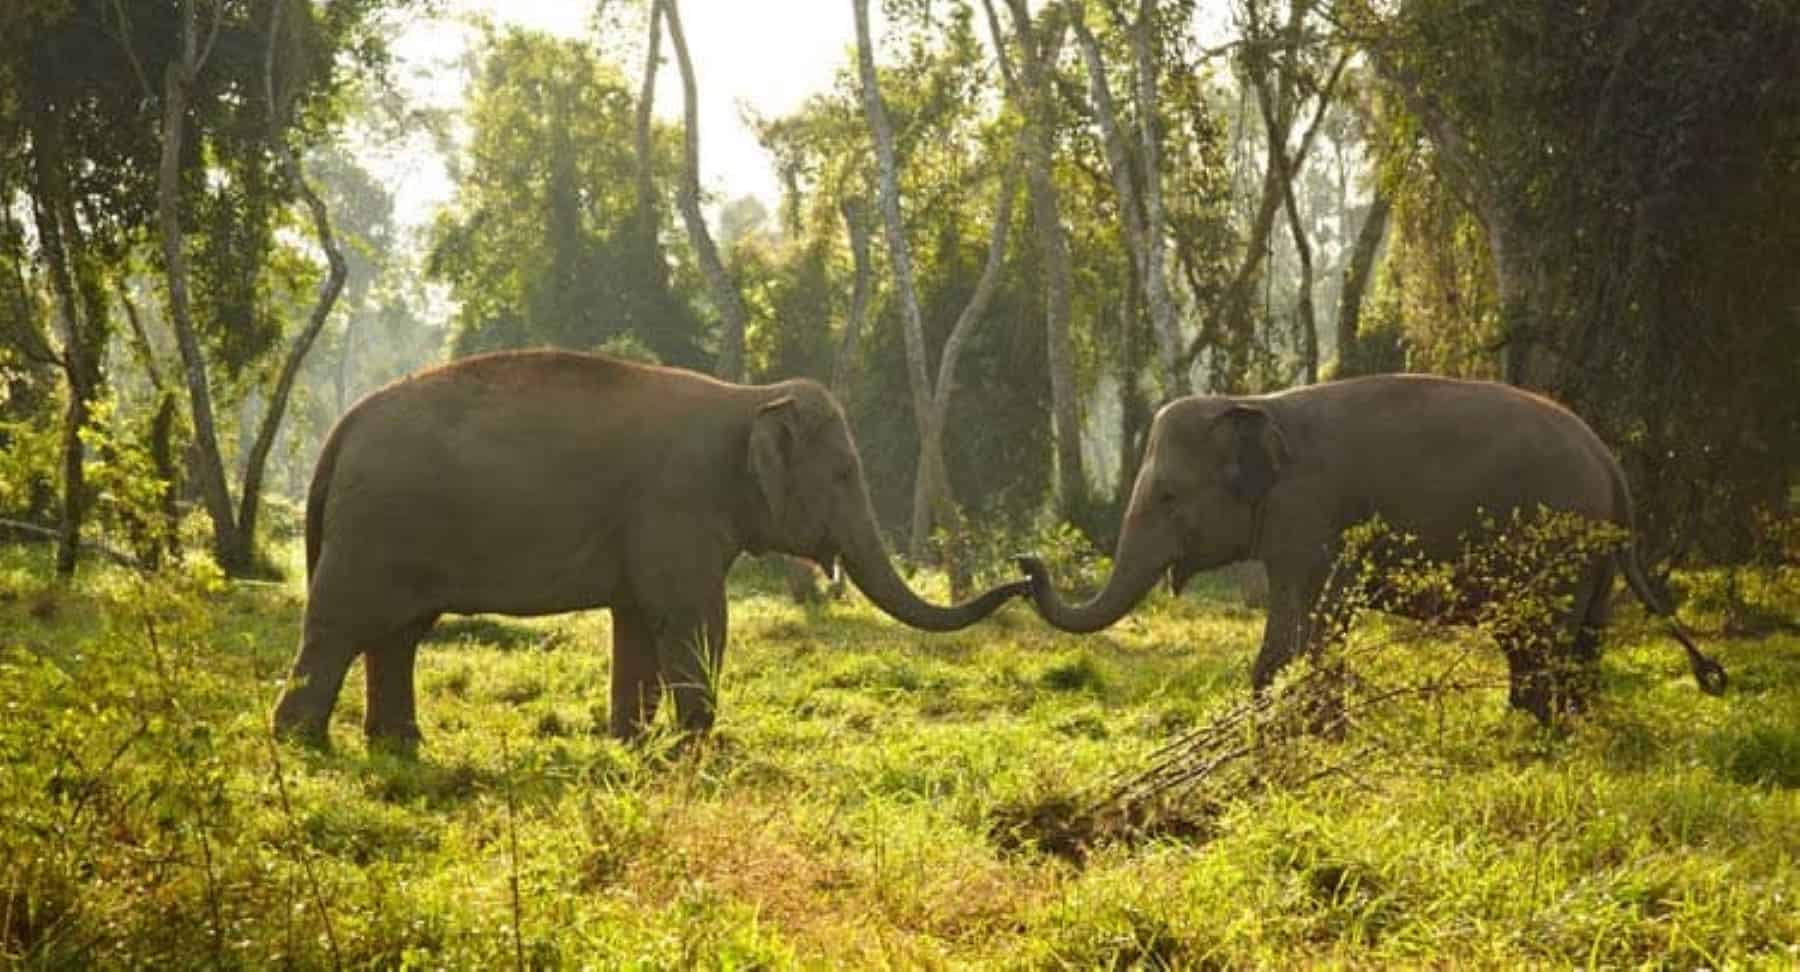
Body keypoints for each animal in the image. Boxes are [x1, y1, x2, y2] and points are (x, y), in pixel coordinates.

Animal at [272, 350, 1027, 751]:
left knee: (398, 634)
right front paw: (696, 748)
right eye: (844, 473)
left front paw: (631, 745)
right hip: (375, 531)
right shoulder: (677, 506)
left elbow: (636, 622)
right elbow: (694, 618)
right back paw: (302, 744)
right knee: (340, 626)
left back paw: (398, 747)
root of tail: (342, 428)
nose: (1029, 571)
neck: (750, 400)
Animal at [1016, 374, 1726, 722]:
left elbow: (1302, 625)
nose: (1027, 564)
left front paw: (1295, 734)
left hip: (1556, 545)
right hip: (1591, 557)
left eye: (1166, 497)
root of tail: (1610, 464)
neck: (1254, 403)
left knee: (1537, 640)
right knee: (1578, 641)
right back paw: (1558, 730)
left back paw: (1530, 734)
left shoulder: (1310, 513)